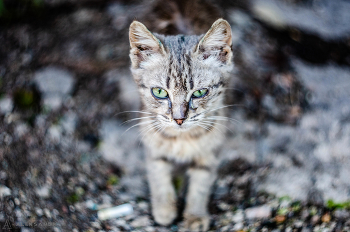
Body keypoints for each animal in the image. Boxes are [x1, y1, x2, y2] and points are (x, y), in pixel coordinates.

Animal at [128, 19, 232, 231]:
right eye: (159, 92)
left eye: (199, 92)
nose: (179, 119)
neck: (182, 138)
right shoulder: (153, 147)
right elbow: (158, 176)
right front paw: (165, 209)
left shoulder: (211, 151)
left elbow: (201, 185)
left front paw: (195, 216)